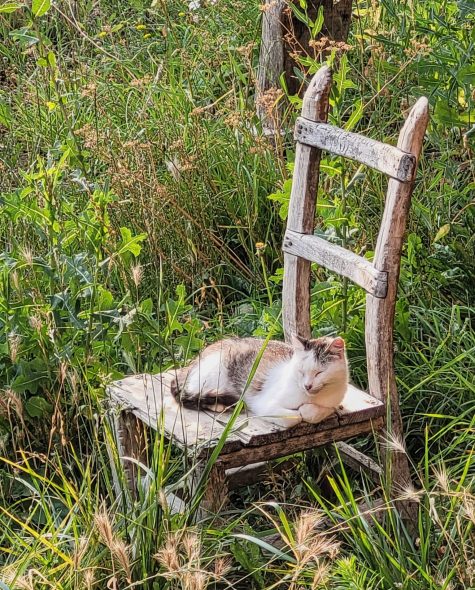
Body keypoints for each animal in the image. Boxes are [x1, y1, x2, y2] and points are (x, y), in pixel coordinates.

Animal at [171, 336, 350, 428]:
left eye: (319, 372)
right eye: (301, 371)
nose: (307, 385)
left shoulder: (333, 402)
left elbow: (315, 412)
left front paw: (308, 410)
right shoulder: (262, 403)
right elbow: (293, 417)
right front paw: (299, 413)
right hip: (214, 372)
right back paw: (221, 405)